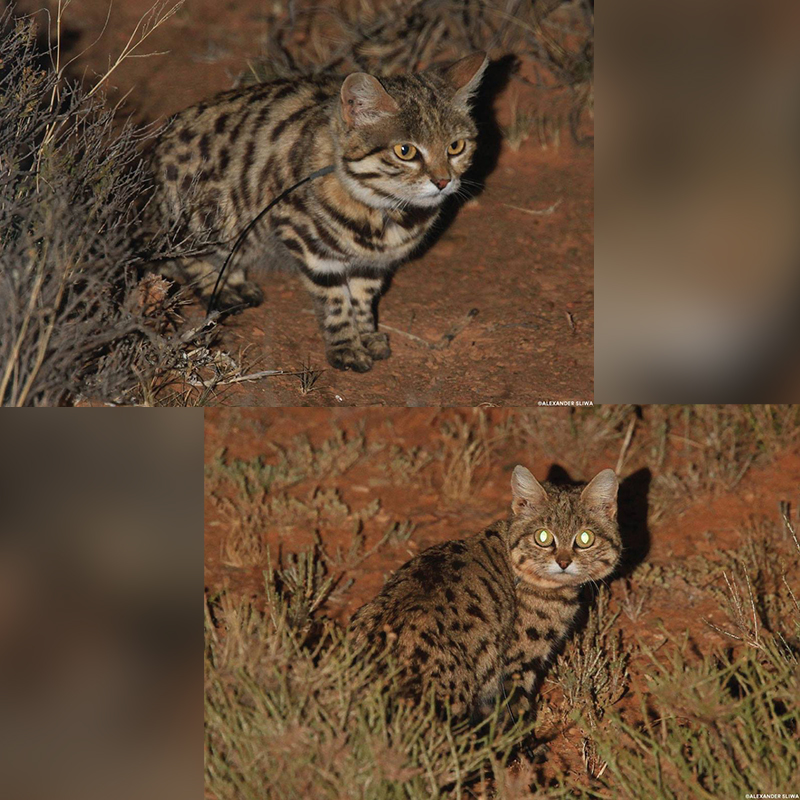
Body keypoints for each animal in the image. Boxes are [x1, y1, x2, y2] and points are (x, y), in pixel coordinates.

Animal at [150, 53, 488, 372]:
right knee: (184, 253)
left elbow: (362, 299)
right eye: (405, 151)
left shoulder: (371, 263)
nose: (443, 182)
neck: (385, 211)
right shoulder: (309, 246)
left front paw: (367, 336)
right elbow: (336, 302)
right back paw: (221, 290)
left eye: (456, 147)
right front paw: (347, 347)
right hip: (212, 219)